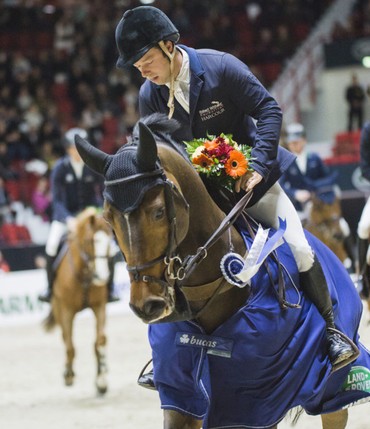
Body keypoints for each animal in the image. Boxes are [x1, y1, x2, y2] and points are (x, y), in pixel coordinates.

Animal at [43, 207, 113, 394]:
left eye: (110, 241)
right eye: (91, 241)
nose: (102, 277)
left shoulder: (99, 306)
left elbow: (100, 340)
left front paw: (102, 378)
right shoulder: (66, 310)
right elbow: (70, 346)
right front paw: (68, 375)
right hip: (58, 307)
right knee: (65, 339)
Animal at [74, 113, 370, 428]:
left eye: (157, 212)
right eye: (108, 218)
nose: (147, 305)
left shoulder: (260, 397)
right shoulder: (184, 393)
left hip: (335, 386)